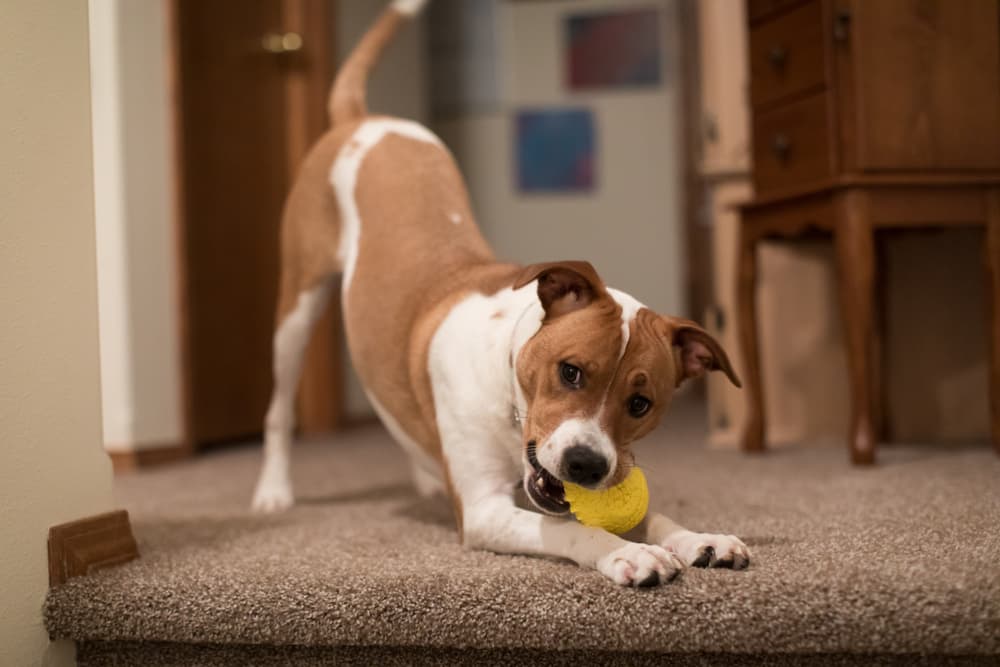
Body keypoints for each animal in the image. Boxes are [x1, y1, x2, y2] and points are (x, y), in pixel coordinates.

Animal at [252, 0, 752, 588]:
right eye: (570, 371)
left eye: (640, 403)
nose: (586, 465)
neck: (506, 381)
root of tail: (363, 119)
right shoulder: (485, 509)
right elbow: (569, 529)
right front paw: (627, 553)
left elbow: (655, 513)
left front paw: (699, 538)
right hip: (296, 309)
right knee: (279, 410)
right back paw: (273, 492)